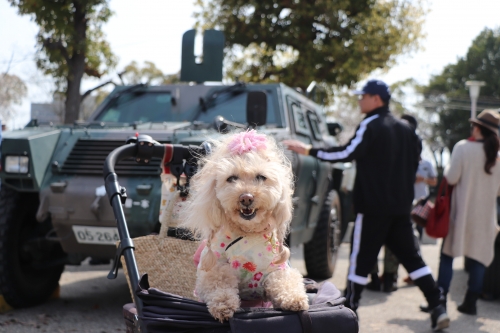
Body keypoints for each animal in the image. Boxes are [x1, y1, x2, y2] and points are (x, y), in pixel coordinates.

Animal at [182, 130, 310, 322]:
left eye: (261, 177)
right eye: (231, 178)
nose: (246, 198)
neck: (248, 232)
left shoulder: (277, 269)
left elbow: (285, 281)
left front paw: (294, 299)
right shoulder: (215, 268)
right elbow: (218, 285)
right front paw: (223, 305)